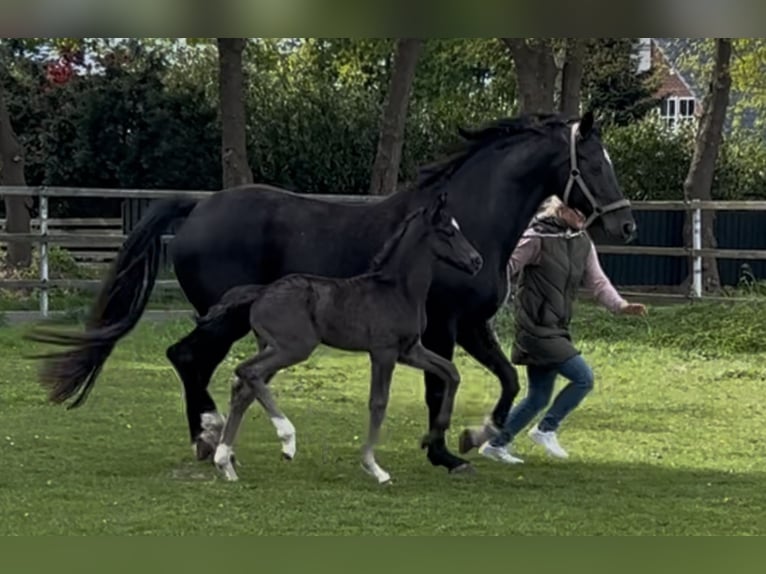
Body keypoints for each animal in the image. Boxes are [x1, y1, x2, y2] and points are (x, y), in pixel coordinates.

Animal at [201, 192, 483, 484]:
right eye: (448, 231)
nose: (476, 261)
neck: (399, 291)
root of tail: (261, 291)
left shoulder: (410, 350)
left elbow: (451, 373)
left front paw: (432, 436)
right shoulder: (384, 352)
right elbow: (378, 403)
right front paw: (374, 467)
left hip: (271, 346)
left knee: (244, 389)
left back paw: (225, 463)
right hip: (293, 347)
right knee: (247, 371)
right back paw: (287, 440)